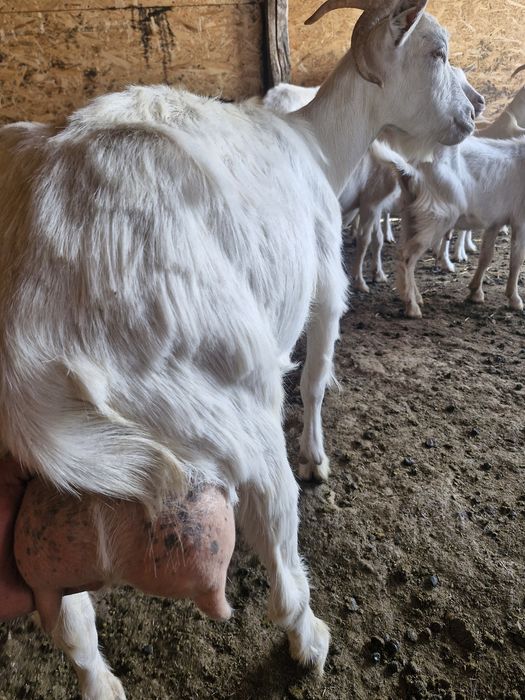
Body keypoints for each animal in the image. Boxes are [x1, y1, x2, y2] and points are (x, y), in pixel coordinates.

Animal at [0, 1, 476, 695]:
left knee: (67, 617)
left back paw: (103, 683)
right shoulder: (325, 277)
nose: (475, 106)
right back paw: (308, 635)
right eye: (437, 52)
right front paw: (317, 459)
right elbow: (314, 376)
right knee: (274, 521)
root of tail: (31, 326)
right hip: (224, 396)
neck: (316, 144)